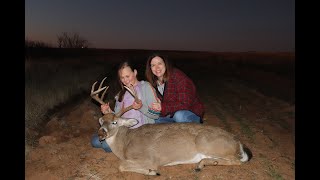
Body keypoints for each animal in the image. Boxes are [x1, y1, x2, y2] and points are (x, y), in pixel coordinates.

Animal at [90, 77, 252, 176]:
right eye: (101, 121)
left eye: (115, 122)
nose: (101, 134)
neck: (125, 144)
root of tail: (237, 143)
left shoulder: (150, 159)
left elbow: (122, 166)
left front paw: (152, 172)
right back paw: (201, 164)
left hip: (208, 144)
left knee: (237, 161)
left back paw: (201, 165)